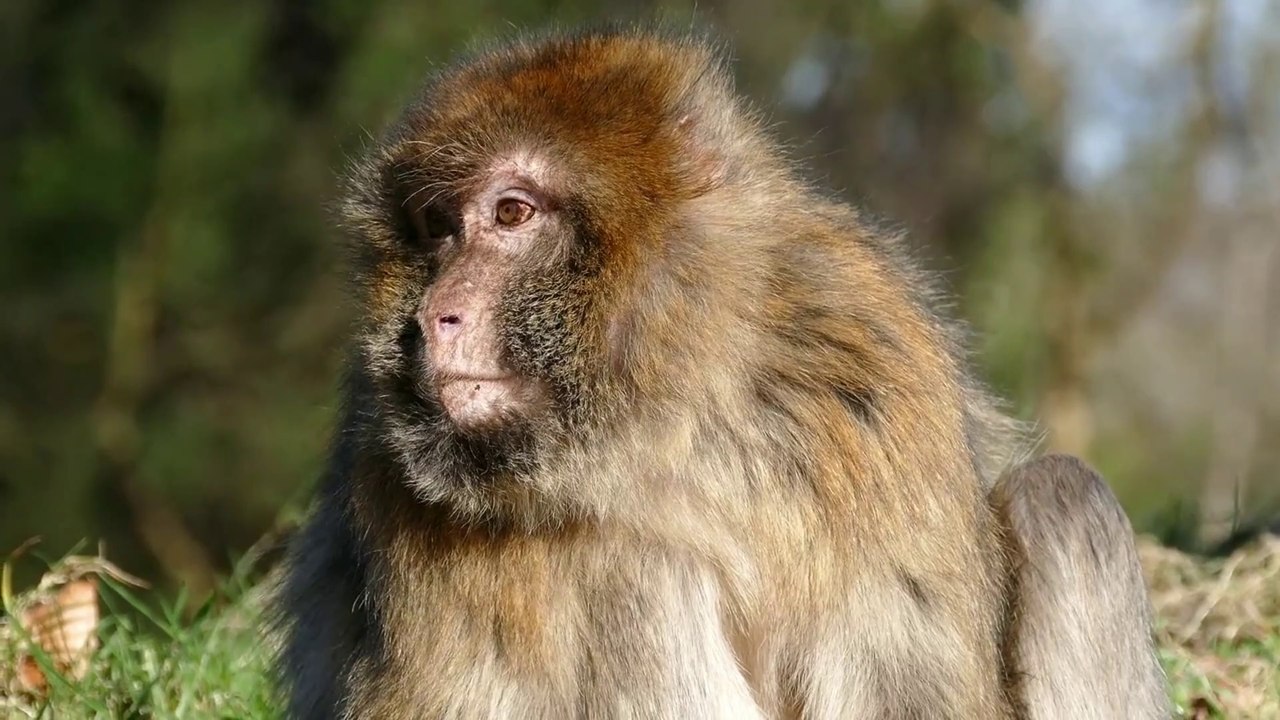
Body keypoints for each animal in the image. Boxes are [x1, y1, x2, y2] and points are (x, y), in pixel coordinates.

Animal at [274, 27, 1168, 720]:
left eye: (512, 214)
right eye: (437, 228)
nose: (435, 316)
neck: (664, 417)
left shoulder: (872, 366)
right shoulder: (390, 475)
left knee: (1064, 497)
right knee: (633, 567)